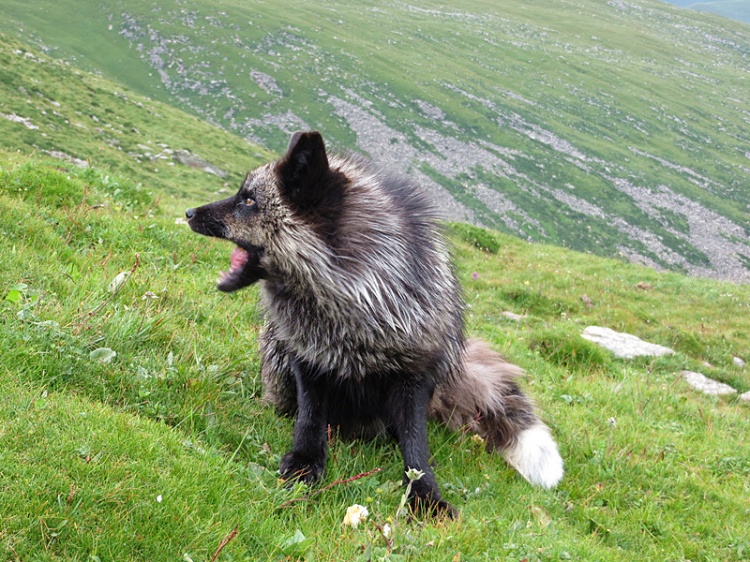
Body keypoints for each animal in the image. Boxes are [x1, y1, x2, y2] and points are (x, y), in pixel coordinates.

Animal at [188, 130, 564, 512]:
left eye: (248, 200)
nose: (189, 212)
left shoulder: (415, 375)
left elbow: (416, 447)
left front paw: (426, 496)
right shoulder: (307, 357)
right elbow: (310, 419)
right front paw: (305, 463)